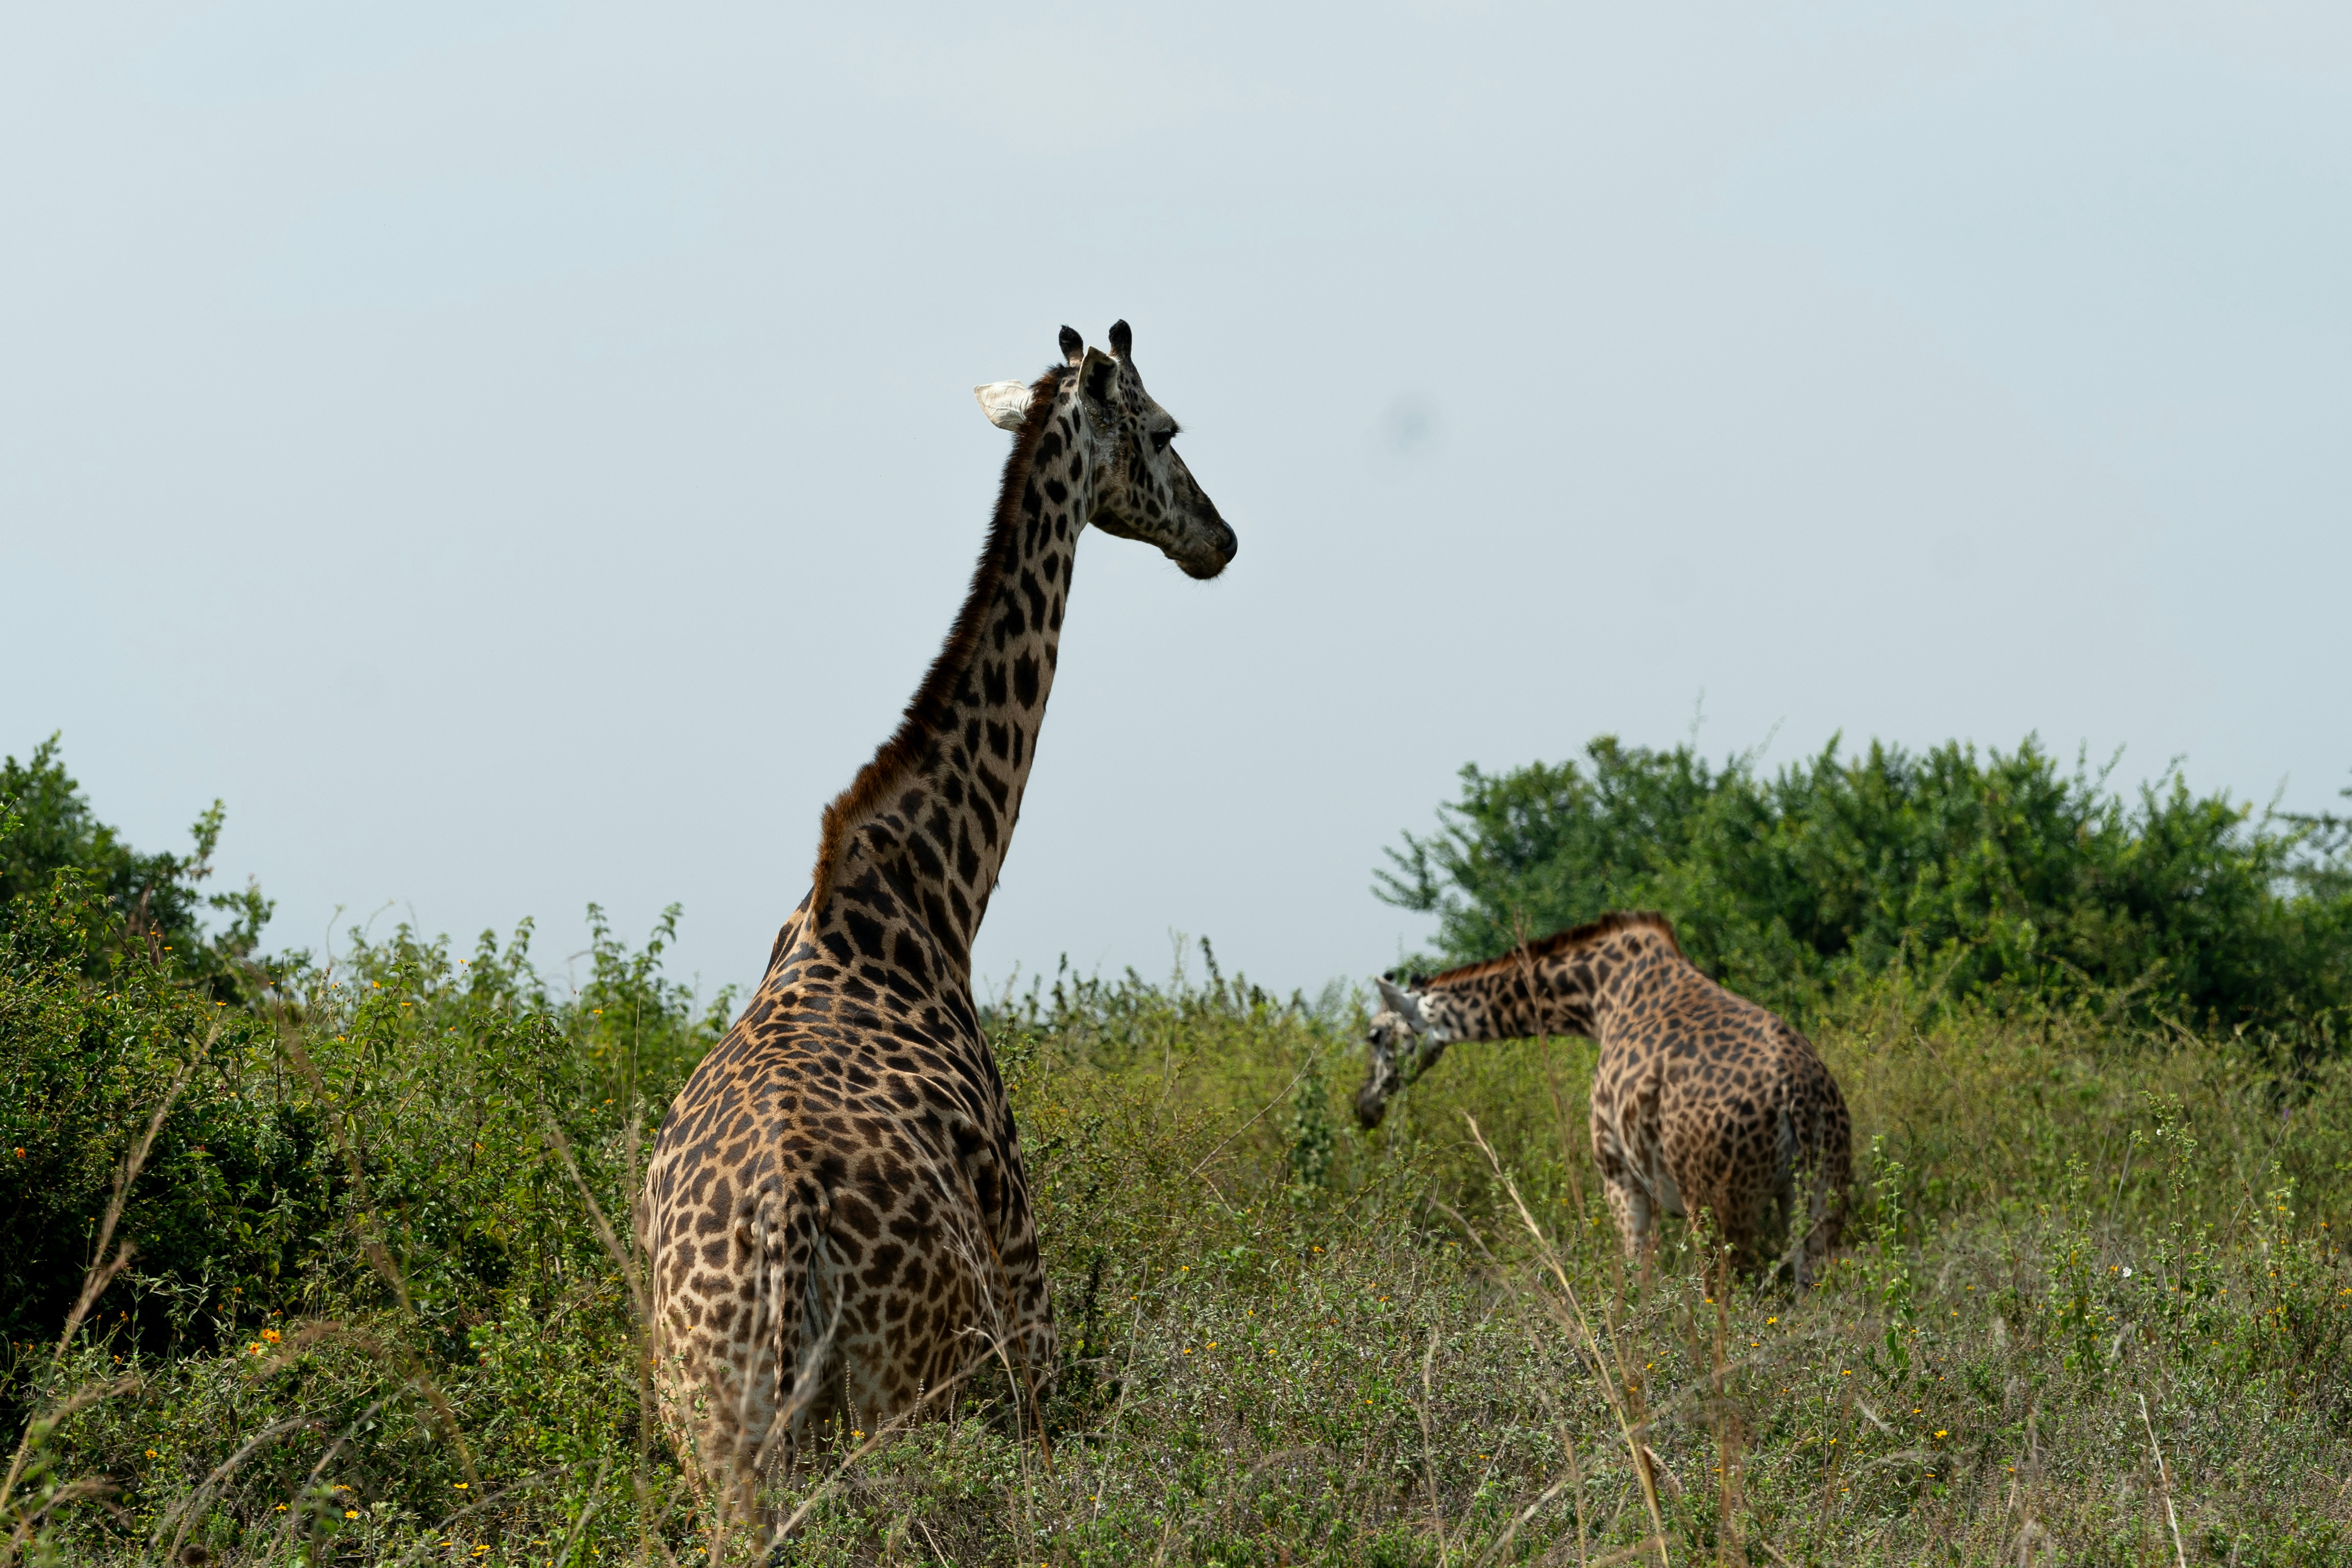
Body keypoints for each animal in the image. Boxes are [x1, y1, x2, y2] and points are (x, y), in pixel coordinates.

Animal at [639, 321, 1236, 1512]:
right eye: (1164, 429)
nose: (1220, 537)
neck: (936, 890)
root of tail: (786, 1238)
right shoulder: (1032, 1310)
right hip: (911, 1396)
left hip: (715, 1433)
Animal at [1357, 912, 1850, 1283]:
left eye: (1374, 1034)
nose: (1364, 1106)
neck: (1596, 999)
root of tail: (1796, 1095)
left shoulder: (1619, 1174)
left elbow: (1635, 1282)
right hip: (1821, 1193)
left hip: (1719, 1202)